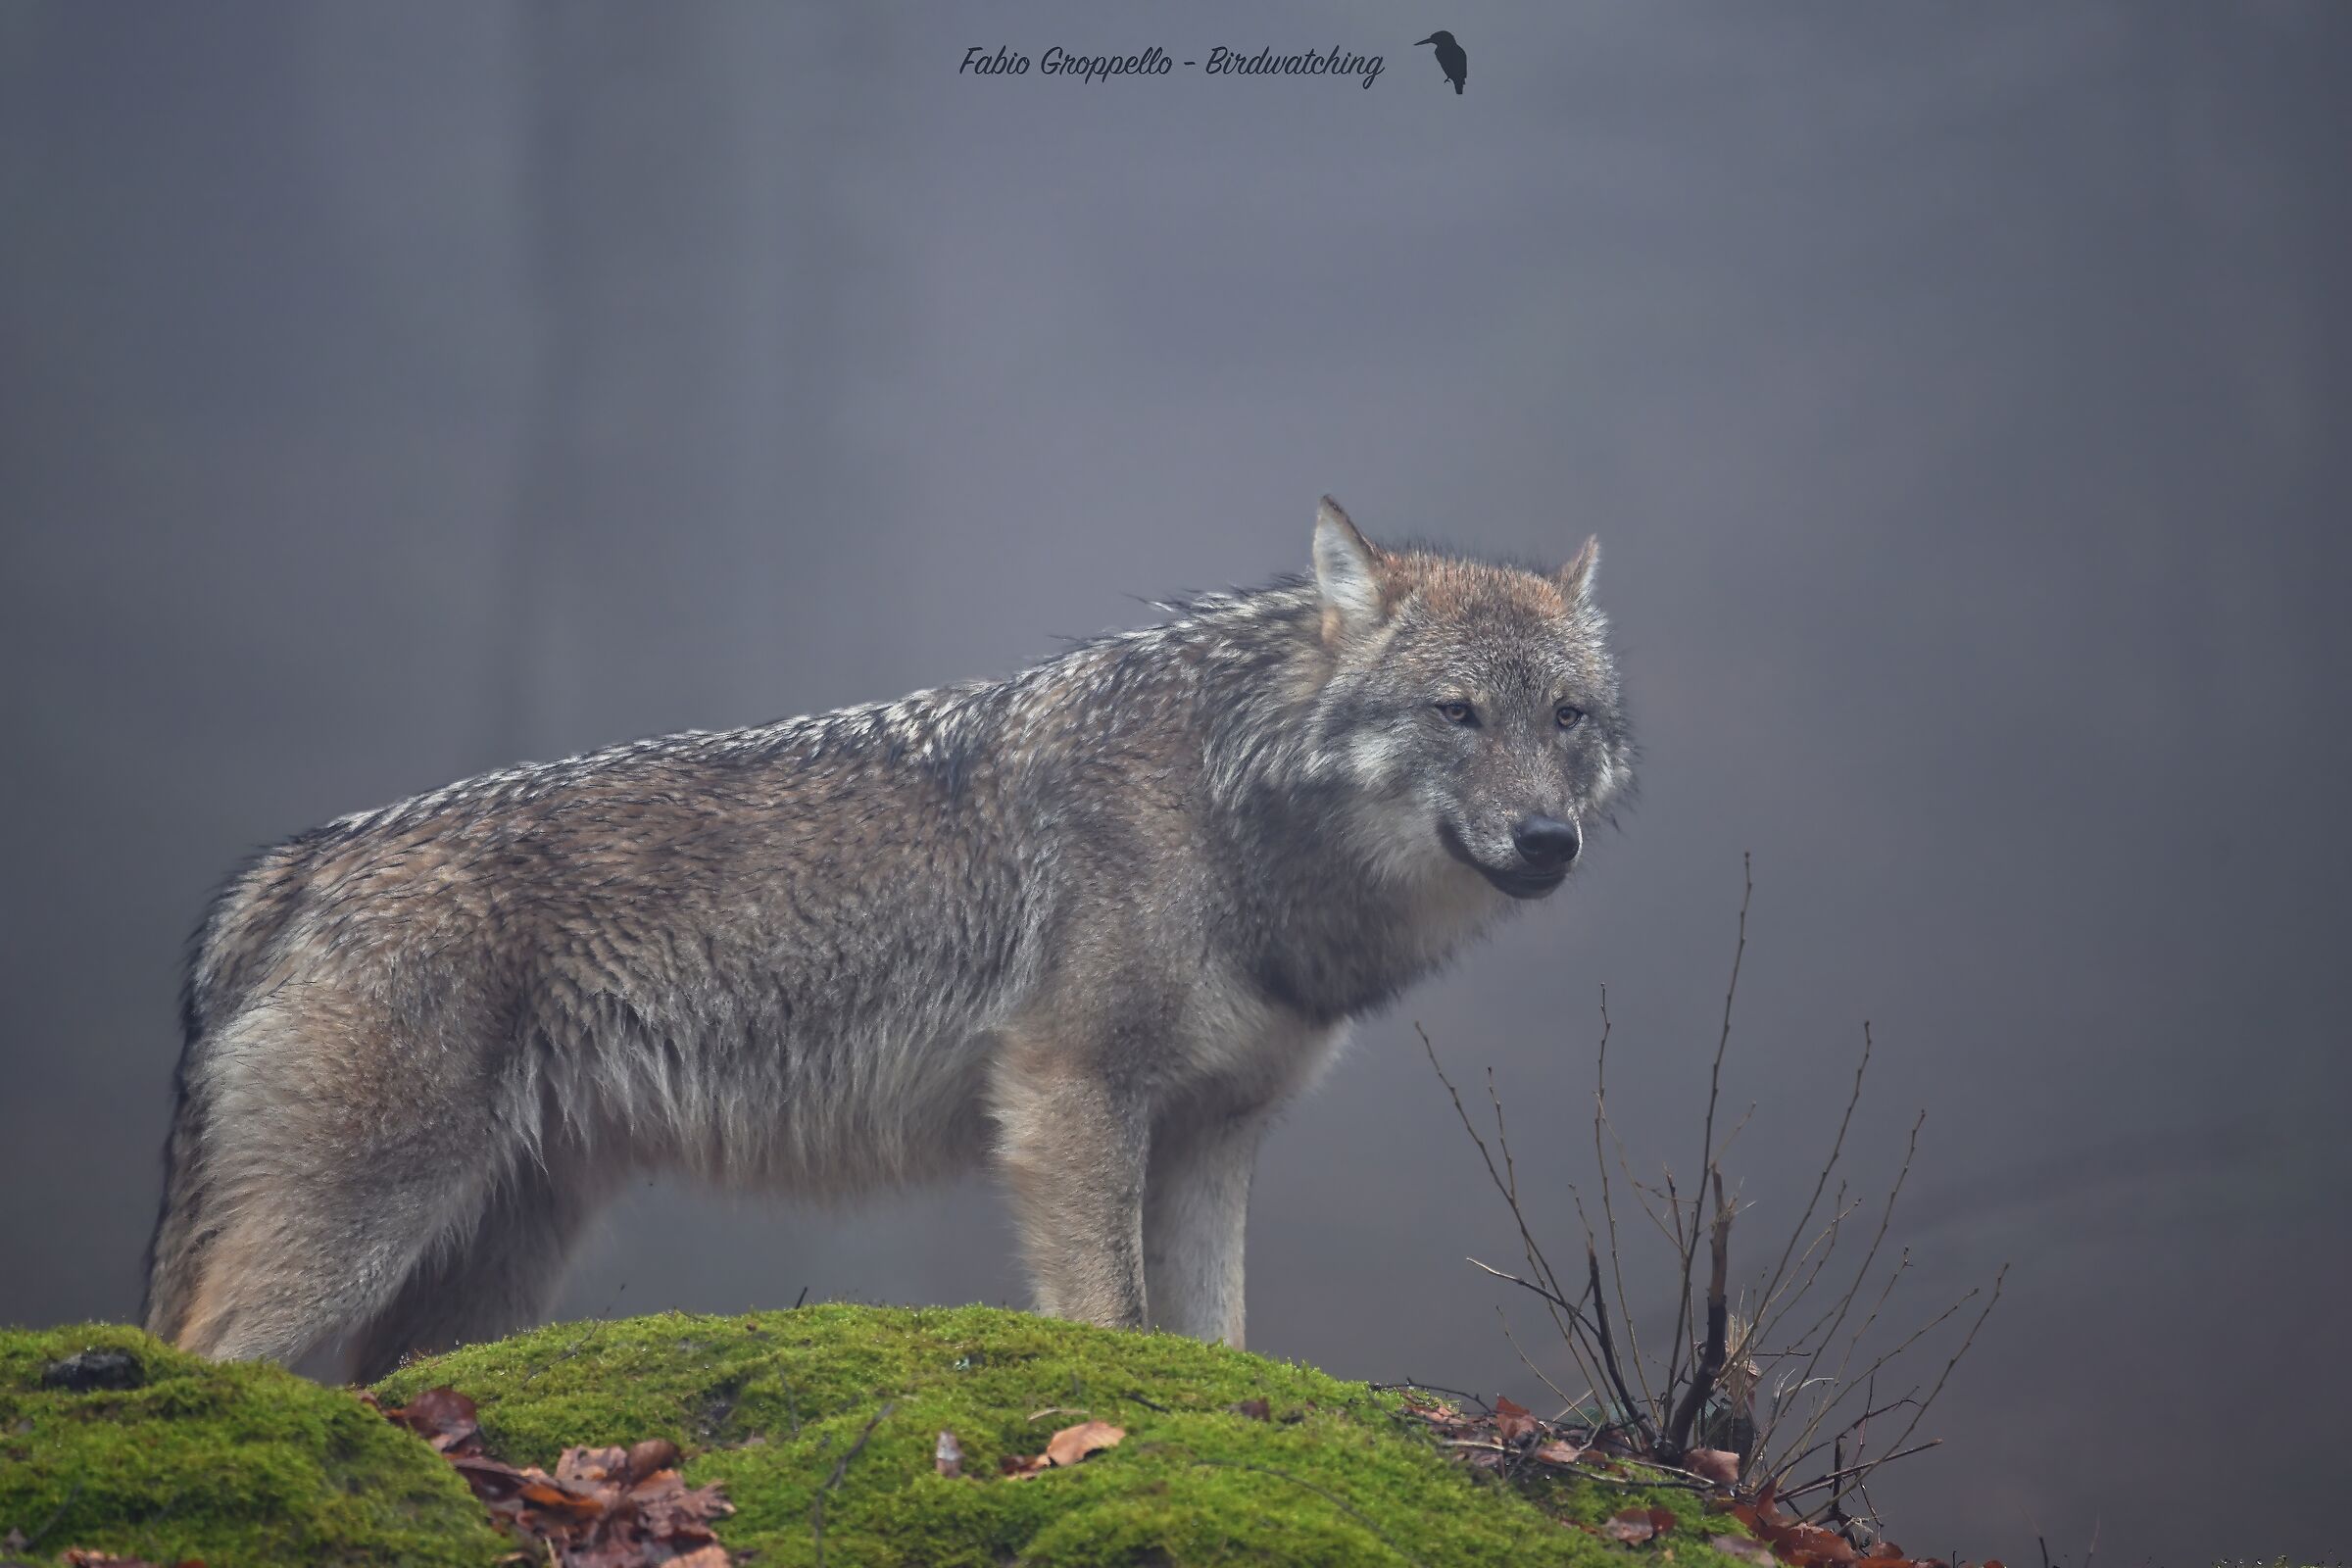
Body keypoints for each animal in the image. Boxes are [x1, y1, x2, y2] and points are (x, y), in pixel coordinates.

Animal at [142, 498, 1632, 1379]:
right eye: (1457, 714)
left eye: (1566, 718)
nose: (1550, 842)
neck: (1236, 809)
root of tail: (288, 868)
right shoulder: (1071, 1097)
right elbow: (1113, 1315)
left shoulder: (1214, 1135)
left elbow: (1216, 1342)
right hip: (353, 1230)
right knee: (205, 1352)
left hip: (489, 1263)